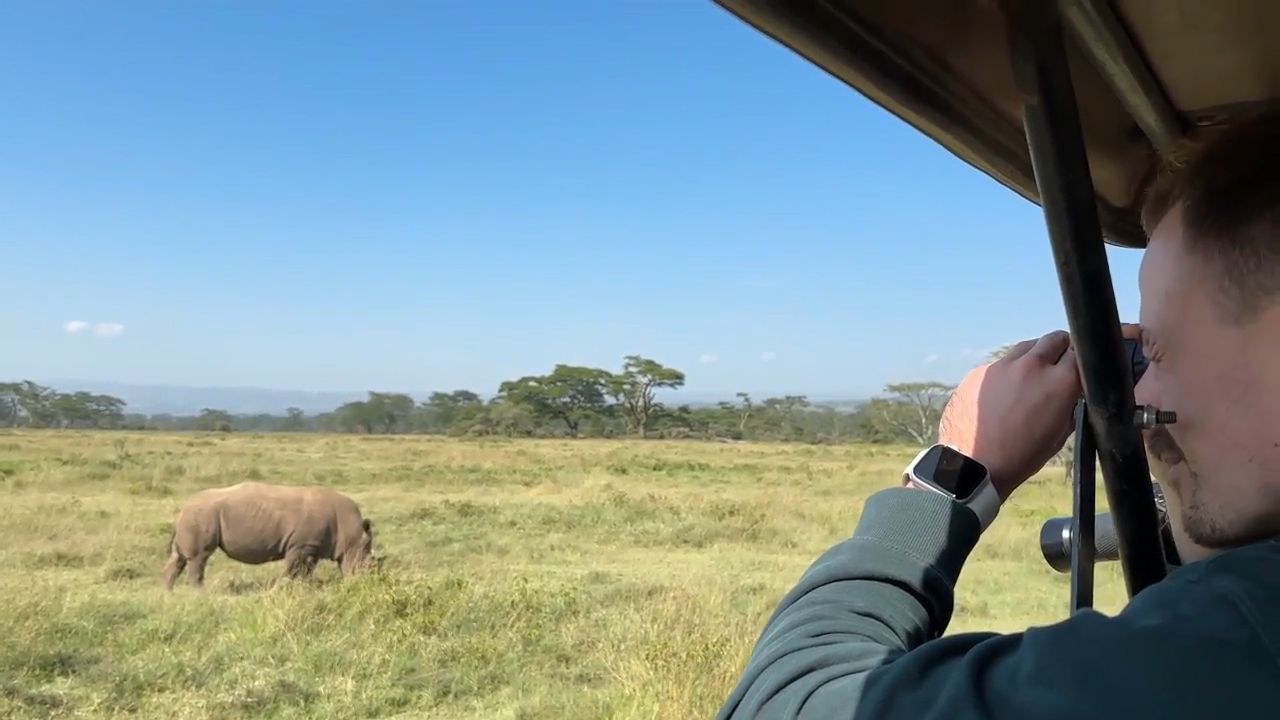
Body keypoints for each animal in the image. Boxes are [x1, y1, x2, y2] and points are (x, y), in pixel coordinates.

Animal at [160, 479, 373, 586]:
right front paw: (287, 588)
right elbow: (294, 570)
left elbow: (306, 571)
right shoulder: (301, 544)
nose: (364, 581)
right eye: (367, 560)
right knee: (199, 558)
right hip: (201, 515)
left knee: (178, 558)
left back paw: (167, 595)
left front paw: (305, 588)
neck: (350, 530)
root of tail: (181, 510)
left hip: (194, 517)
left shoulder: (312, 545)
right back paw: (199, 595)